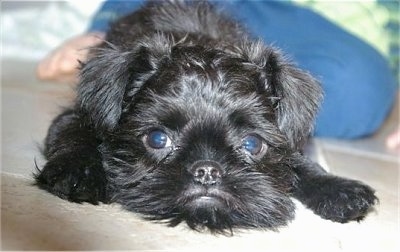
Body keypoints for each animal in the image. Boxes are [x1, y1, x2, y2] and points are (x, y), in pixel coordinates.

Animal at [35, 1, 378, 232]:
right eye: (157, 139)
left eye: (252, 144)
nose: (207, 171)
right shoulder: (77, 114)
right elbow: (73, 134)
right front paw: (78, 171)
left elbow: (298, 160)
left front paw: (337, 187)